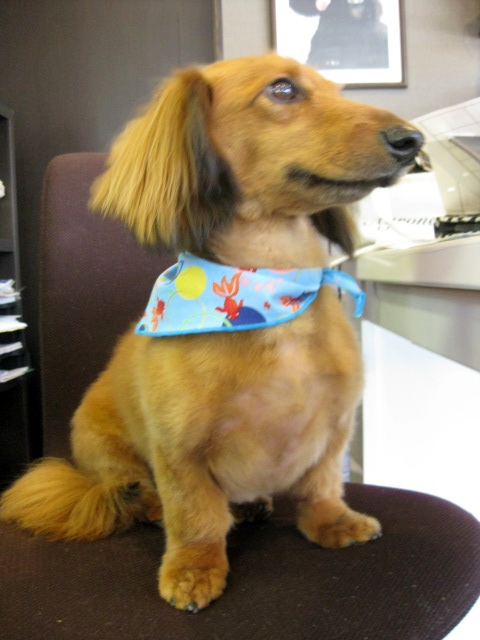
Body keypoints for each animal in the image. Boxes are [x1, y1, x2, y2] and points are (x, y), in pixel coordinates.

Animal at [0, 53, 423, 612]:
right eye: (282, 89)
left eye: (338, 89)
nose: (411, 140)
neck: (272, 287)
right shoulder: (179, 451)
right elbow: (195, 514)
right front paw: (194, 568)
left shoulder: (335, 425)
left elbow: (321, 482)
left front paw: (331, 520)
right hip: (108, 455)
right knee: (136, 493)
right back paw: (155, 507)